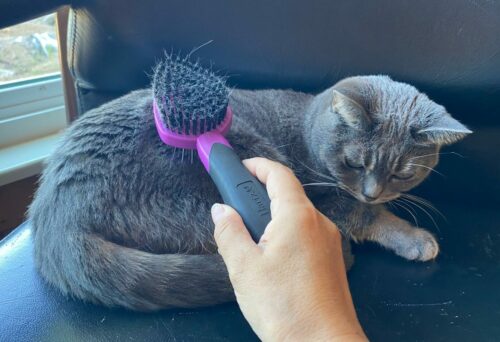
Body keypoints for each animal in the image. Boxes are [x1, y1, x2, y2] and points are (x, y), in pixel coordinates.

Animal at [29, 76, 470, 312]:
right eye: (355, 163)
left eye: (403, 173)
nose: (373, 191)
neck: (309, 125)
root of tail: (54, 217)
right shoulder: (326, 198)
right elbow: (367, 217)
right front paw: (415, 238)